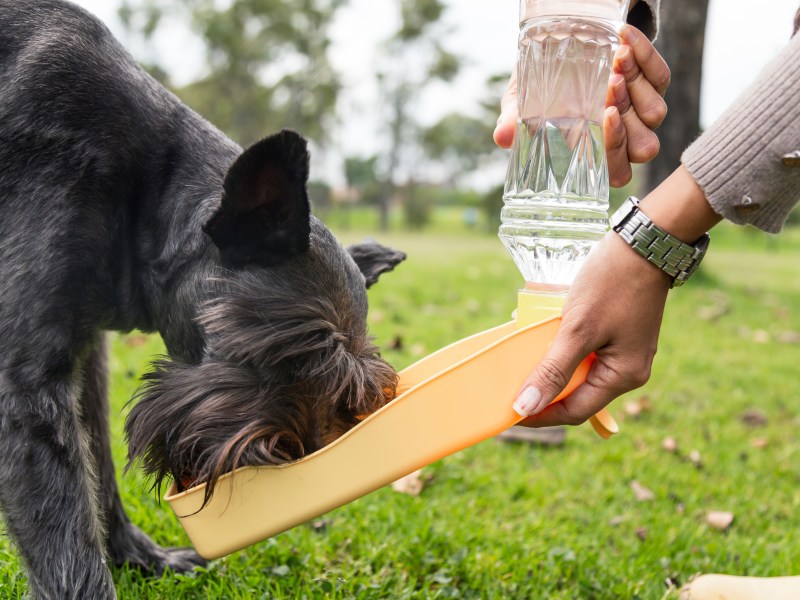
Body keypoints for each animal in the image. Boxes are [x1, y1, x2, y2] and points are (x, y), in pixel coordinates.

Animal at [0, 2, 406, 596]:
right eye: (286, 350)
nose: (294, 459)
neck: (140, 196)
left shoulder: (83, 356)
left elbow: (96, 468)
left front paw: (137, 555)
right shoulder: (25, 379)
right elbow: (66, 537)